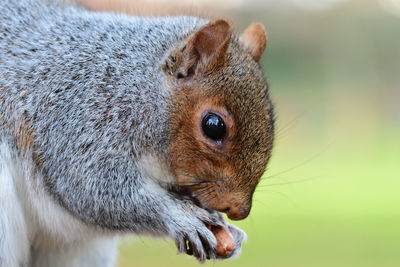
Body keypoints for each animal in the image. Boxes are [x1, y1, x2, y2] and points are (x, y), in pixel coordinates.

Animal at [0, 0, 276, 266]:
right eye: (213, 126)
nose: (239, 210)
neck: (136, 84)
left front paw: (231, 232)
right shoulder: (76, 117)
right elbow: (93, 187)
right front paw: (182, 216)